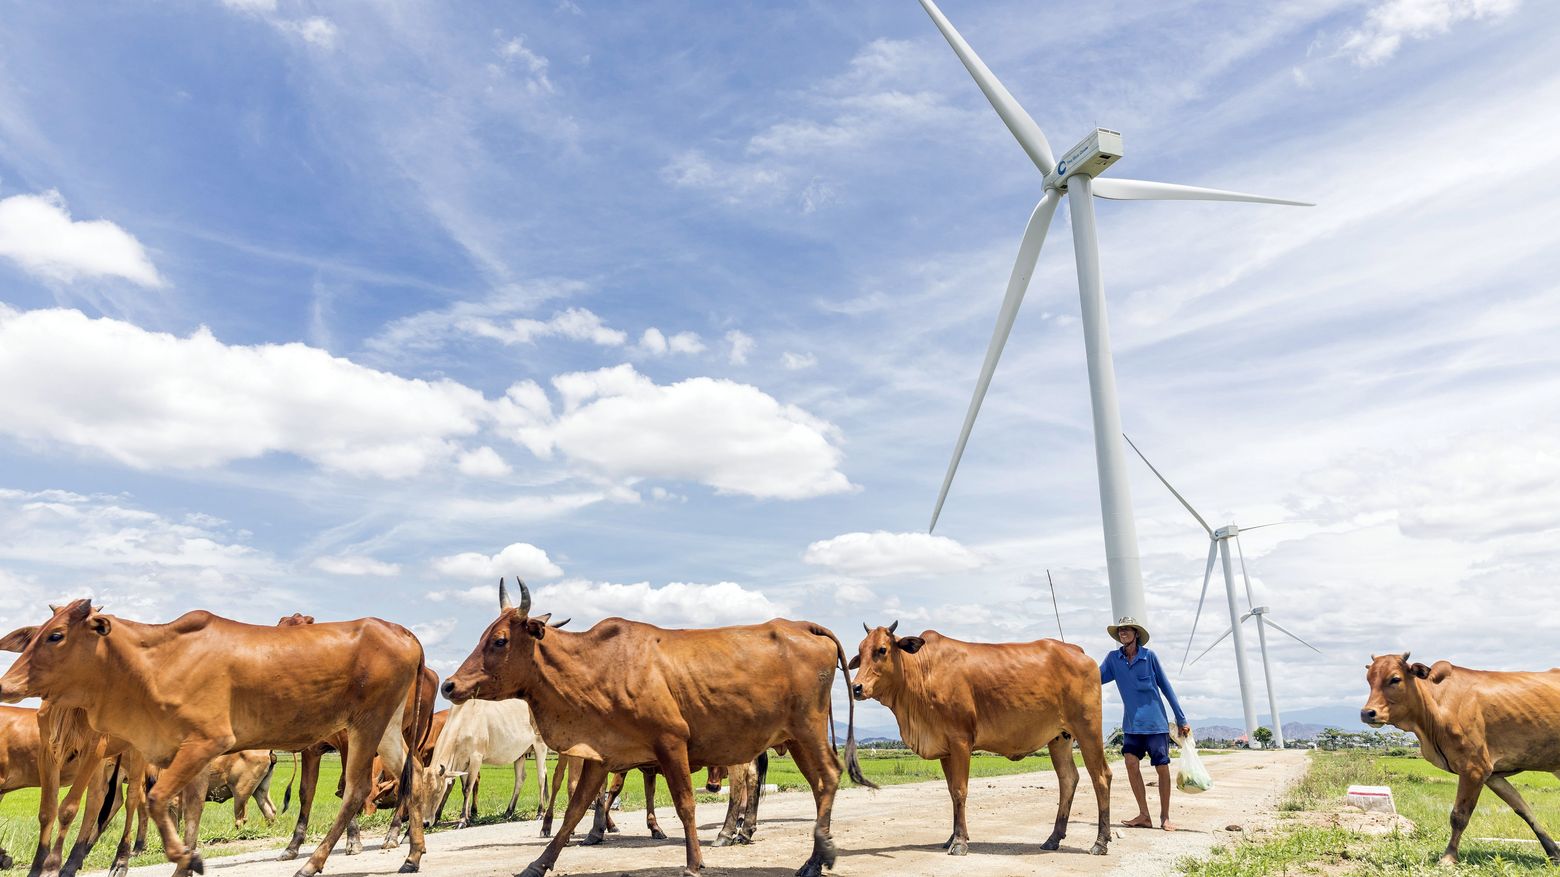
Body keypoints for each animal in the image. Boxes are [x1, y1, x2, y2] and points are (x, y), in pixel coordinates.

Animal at [0, 596, 427, 873]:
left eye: (56, 635)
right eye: (32, 636)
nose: (6, 684)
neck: (154, 664)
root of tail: (401, 630)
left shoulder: (207, 744)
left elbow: (156, 800)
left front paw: (188, 859)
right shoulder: (188, 756)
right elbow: (189, 816)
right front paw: (186, 861)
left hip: (365, 725)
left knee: (355, 790)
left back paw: (313, 863)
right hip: (387, 729)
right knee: (415, 774)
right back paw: (411, 856)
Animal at [414, 692, 549, 823]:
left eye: (438, 792)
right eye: (421, 793)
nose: (425, 822)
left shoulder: (476, 758)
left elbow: (468, 788)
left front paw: (463, 819)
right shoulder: (463, 762)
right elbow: (464, 787)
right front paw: (468, 816)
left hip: (540, 746)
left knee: (541, 776)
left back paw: (540, 812)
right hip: (520, 754)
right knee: (520, 778)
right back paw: (508, 812)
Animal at [443, 577, 879, 873]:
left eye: (500, 640)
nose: (449, 685)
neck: (597, 667)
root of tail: (803, 625)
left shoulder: (671, 742)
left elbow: (685, 805)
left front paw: (694, 861)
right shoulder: (601, 754)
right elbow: (575, 811)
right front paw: (538, 863)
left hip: (807, 731)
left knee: (826, 777)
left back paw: (814, 856)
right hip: (797, 738)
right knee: (820, 783)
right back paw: (811, 856)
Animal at [848, 621, 1116, 855]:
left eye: (882, 649)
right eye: (859, 652)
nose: (856, 687)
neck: (924, 672)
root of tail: (1077, 651)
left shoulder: (961, 741)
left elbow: (959, 791)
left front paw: (959, 842)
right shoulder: (945, 749)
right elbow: (951, 791)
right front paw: (952, 838)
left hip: (1088, 730)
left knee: (1101, 777)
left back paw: (1100, 842)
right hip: (1060, 738)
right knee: (1068, 779)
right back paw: (1053, 839)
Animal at [1360, 649, 1560, 861]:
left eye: (1395, 679)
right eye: (1369, 679)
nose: (1367, 713)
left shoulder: (1474, 769)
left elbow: (1459, 816)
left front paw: (1449, 857)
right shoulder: (1493, 775)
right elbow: (1522, 809)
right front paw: (1553, 851)